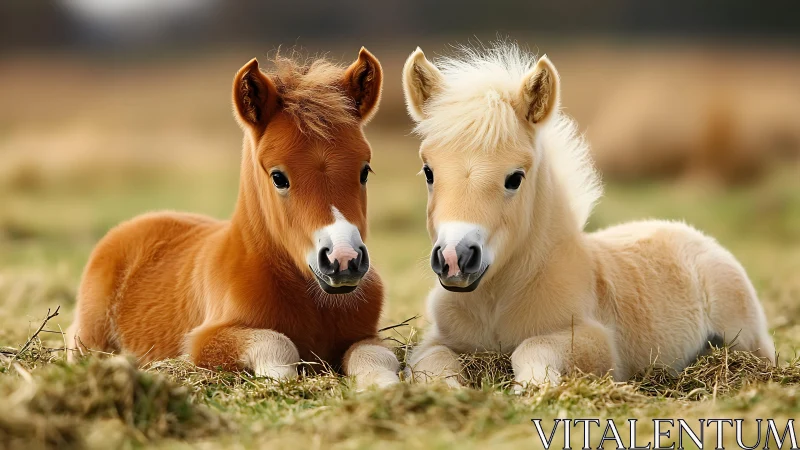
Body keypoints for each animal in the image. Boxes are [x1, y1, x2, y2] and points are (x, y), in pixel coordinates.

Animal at [67, 48, 400, 389]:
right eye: (279, 177)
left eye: (364, 171)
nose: (343, 259)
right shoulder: (202, 341)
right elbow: (278, 344)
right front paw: (281, 379)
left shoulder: (365, 334)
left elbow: (377, 356)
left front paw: (384, 387)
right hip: (89, 339)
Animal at [400, 42, 775, 388]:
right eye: (429, 171)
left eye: (515, 178)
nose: (455, 258)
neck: (496, 301)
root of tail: (695, 236)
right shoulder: (436, 339)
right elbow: (432, 362)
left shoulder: (598, 343)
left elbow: (530, 347)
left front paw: (534, 388)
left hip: (746, 338)